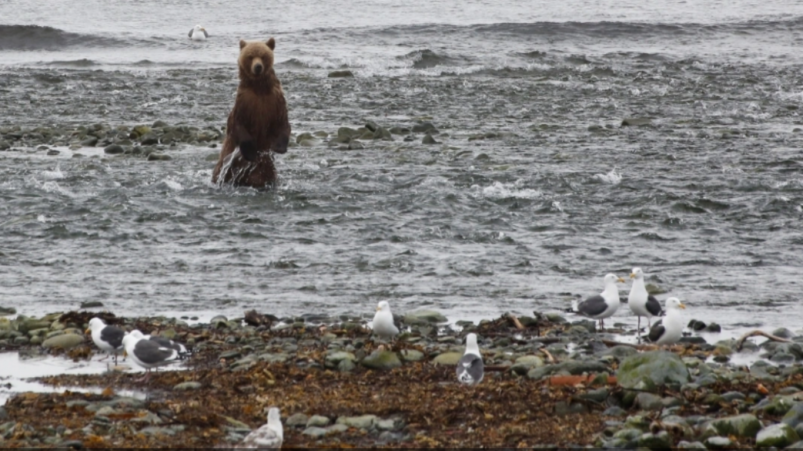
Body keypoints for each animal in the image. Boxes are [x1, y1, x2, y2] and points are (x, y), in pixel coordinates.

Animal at [212, 37, 290, 187]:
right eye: (250, 56)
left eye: (263, 56)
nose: (258, 67)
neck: (259, 88)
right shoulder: (245, 103)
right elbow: (238, 125)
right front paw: (251, 152)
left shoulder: (275, 101)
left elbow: (282, 122)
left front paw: (279, 147)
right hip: (224, 165)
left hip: (267, 171)